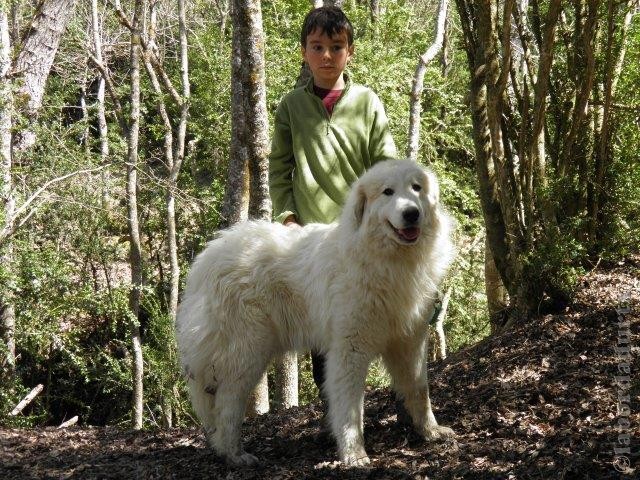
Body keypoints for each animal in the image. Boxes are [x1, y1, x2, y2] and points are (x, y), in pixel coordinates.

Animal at [175, 160, 456, 464]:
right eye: (388, 192)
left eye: (416, 188)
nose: (412, 213)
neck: (389, 261)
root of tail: (206, 258)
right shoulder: (349, 347)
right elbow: (349, 406)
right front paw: (353, 454)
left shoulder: (409, 340)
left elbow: (419, 389)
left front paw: (430, 431)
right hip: (247, 351)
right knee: (227, 403)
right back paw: (234, 454)